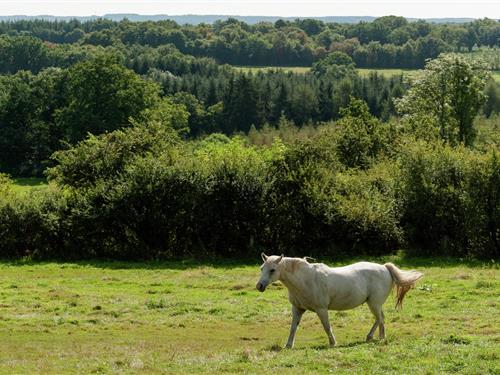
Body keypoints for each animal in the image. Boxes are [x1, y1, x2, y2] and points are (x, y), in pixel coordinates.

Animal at [256, 254, 424, 348]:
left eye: (272, 270)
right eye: (262, 268)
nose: (259, 286)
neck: (305, 279)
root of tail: (384, 267)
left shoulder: (321, 309)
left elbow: (326, 327)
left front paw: (333, 343)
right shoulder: (297, 309)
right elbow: (293, 328)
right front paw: (288, 345)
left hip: (374, 303)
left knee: (380, 319)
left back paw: (379, 338)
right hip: (374, 304)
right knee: (380, 318)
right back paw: (372, 337)